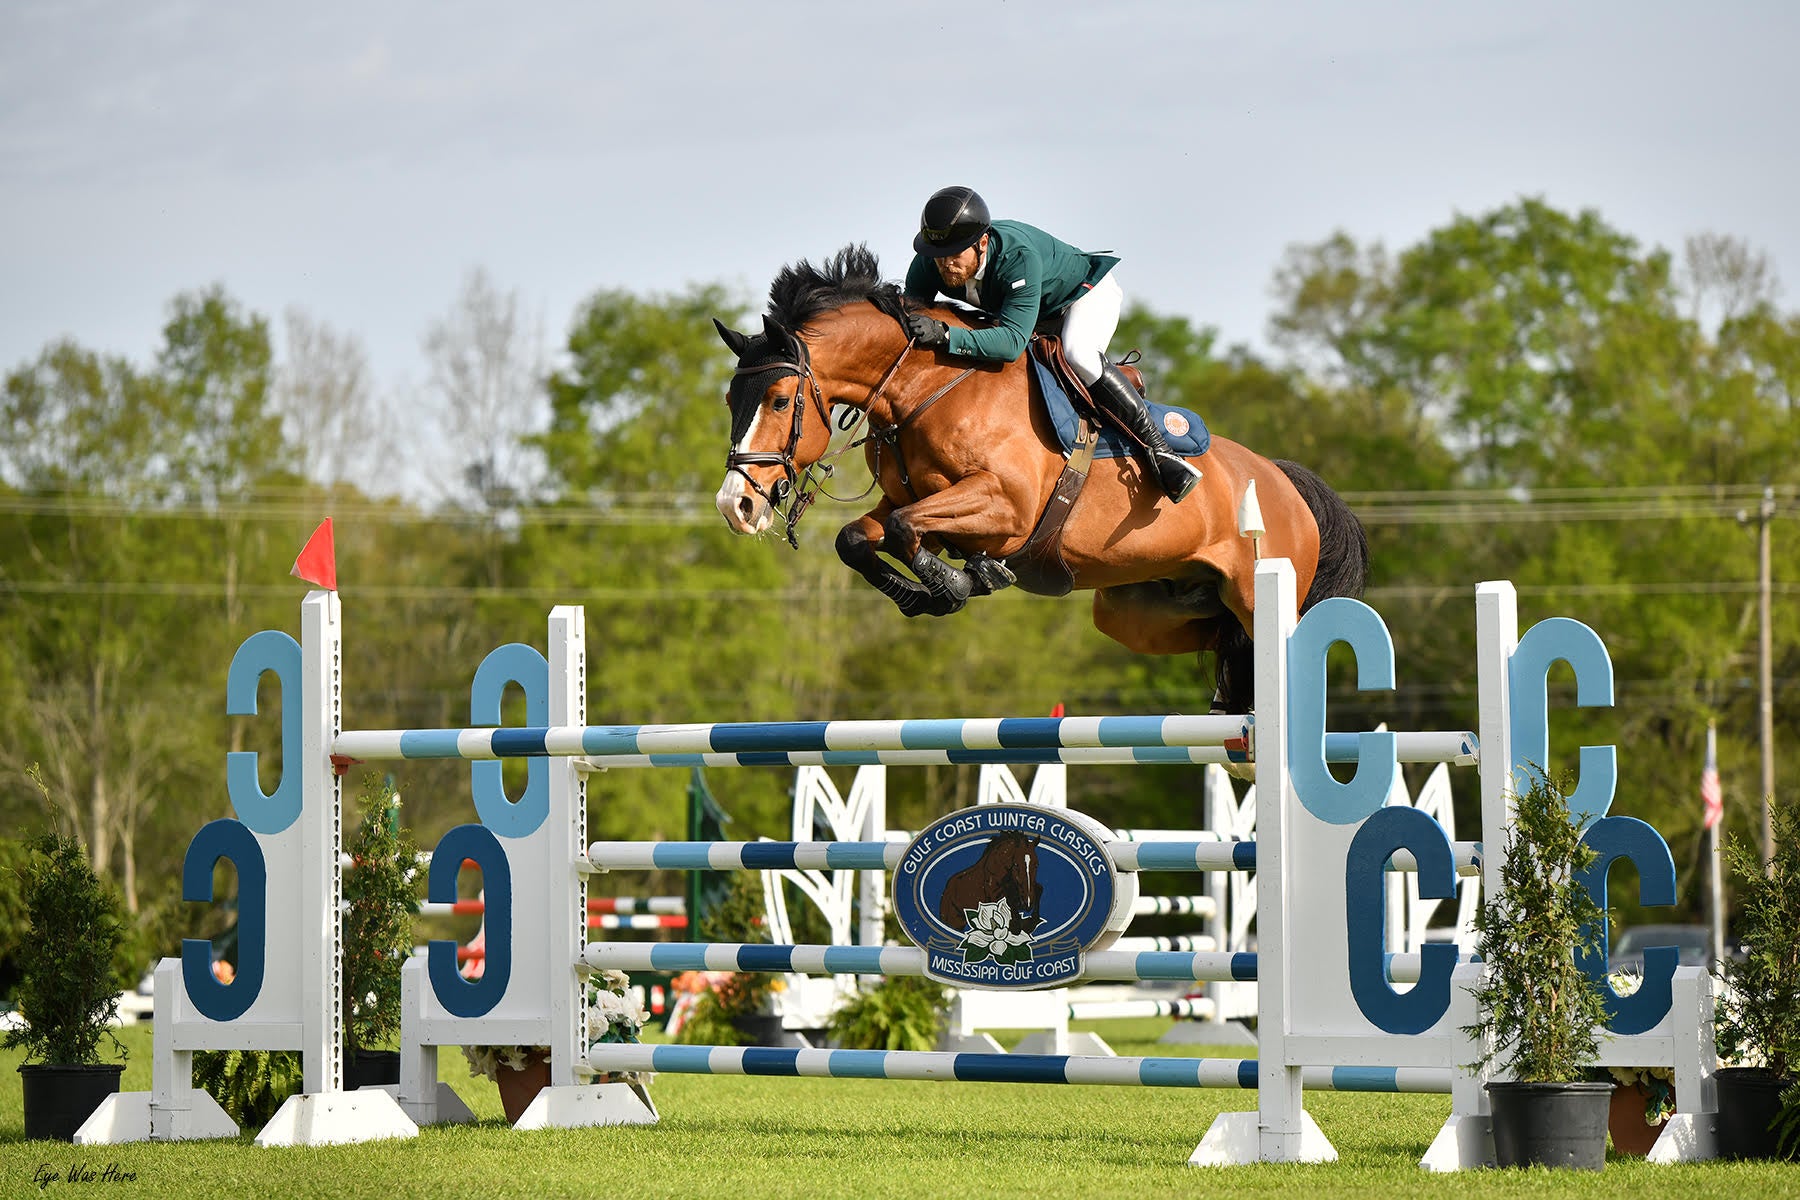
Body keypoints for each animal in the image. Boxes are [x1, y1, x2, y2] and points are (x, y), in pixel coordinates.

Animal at [712, 245, 1368, 712]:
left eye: (777, 400)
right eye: (729, 400)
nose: (734, 506)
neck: (926, 386)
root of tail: (1284, 480)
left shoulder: (1006, 507)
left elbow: (903, 529)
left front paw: (955, 582)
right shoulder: (916, 501)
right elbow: (860, 537)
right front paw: (935, 588)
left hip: (1261, 588)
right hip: (1139, 614)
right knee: (1225, 642)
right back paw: (1230, 703)